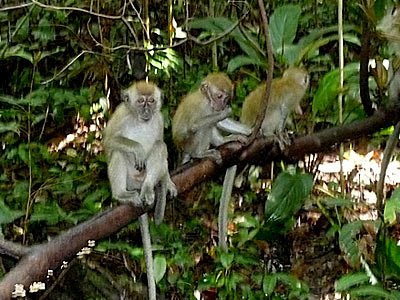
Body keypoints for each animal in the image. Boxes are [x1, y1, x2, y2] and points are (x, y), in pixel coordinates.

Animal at [103, 81, 177, 300]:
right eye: (140, 101)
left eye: (151, 101)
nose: (146, 110)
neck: (139, 120)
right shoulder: (121, 114)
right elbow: (109, 141)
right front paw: (136, 148)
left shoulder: (159, 118)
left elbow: (161, 141)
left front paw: (168, 182)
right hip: (129, 179)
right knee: (119, 152)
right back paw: (121, 194)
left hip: (143, 178)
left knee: (160, 146)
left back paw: (149, 190)